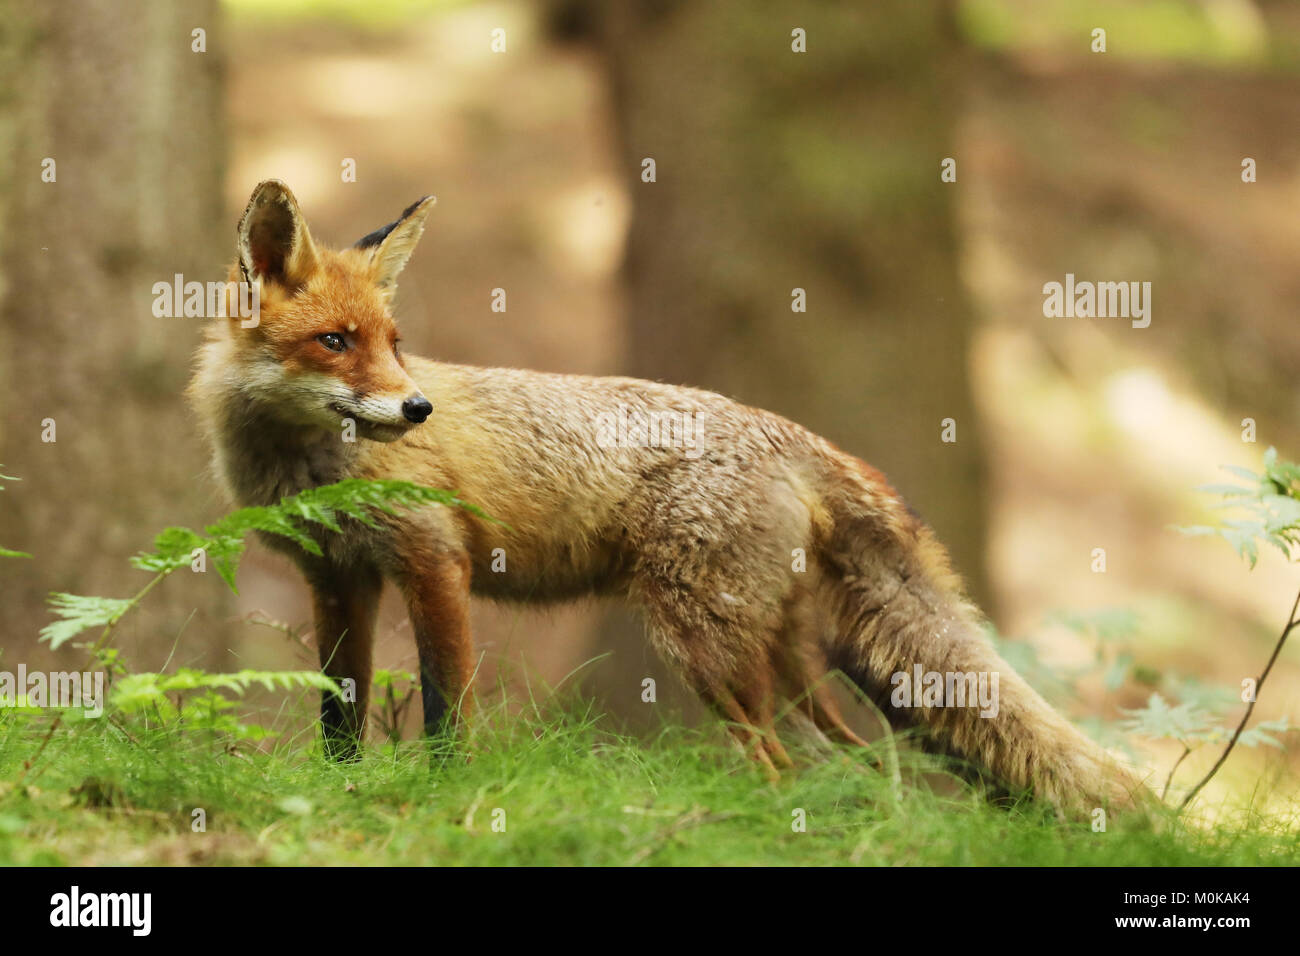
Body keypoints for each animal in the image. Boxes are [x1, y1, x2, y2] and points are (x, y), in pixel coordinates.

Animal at [190, 180, 1145, 816]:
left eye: (393, 343)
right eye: (335, 342)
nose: (419, 407)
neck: (306, 471)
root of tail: (788, 431)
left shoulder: (433, 560)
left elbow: (444, 710)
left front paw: (446, 795)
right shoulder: (336, 578)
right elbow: (337, 718)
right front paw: (340, 791)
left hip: (704, 650)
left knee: (782, 768)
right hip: (787, 666)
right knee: (859, 766)